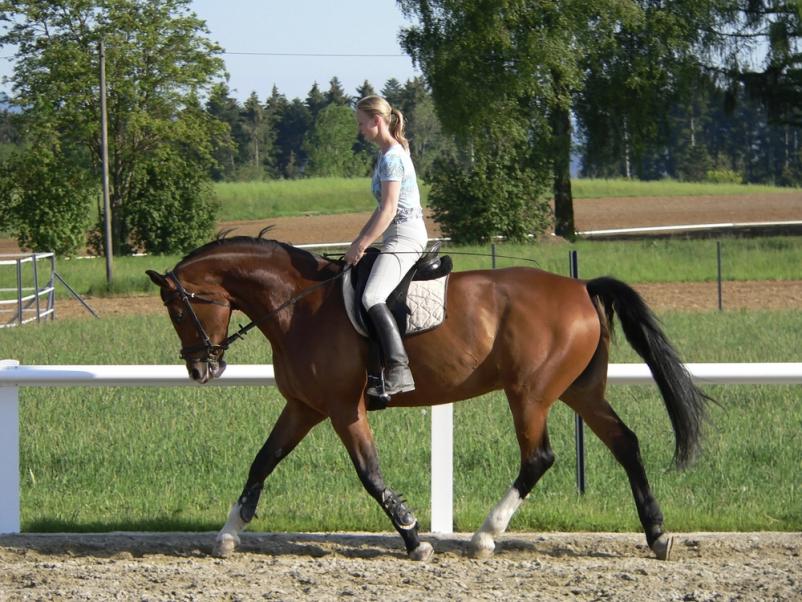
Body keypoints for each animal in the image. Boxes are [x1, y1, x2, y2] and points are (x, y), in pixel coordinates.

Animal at [146, 235, 709, 562]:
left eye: (177, 309)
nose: (200, 368)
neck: (298, 306)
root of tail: (580, 287)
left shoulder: (343, 408)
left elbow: (370, 475)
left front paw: (414, 536)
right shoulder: (303, 407)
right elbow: (262, 461)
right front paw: (228, 533)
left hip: (529, 394)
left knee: (539, 457)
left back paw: (485, 537)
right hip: (578, 390)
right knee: (625, 443)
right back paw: (657, 535)